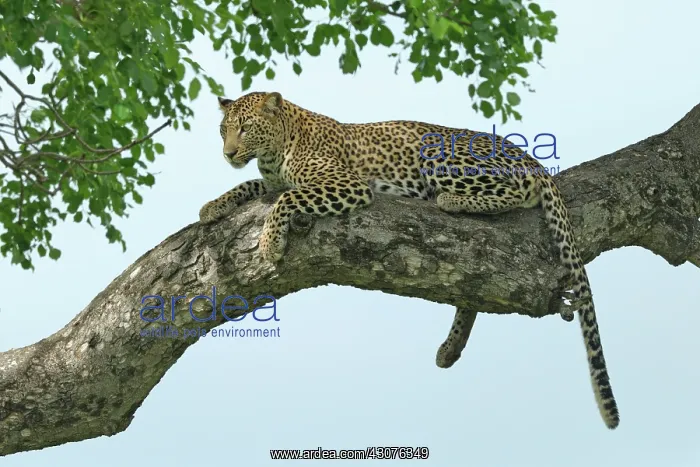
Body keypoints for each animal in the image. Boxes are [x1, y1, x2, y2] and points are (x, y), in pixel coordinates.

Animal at [199, 91, 620, 430]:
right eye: (223, 130)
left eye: (245, 128)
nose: (228, 153)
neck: (273, 153)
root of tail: (529, 157)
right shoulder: (268, 182)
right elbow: (248, 185)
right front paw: (211, 207)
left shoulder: (346, 184)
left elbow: (287, 198)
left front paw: (269, 242)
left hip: (440, 153)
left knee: (516, 192)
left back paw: (450, 199)